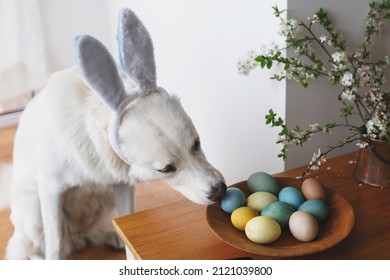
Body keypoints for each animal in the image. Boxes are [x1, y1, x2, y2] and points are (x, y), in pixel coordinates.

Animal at [0, 7, 225, 260]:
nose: (220, 191)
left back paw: (110, 236)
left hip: (103, 200)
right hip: (33, 211)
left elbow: (126, 219)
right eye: (166, 169)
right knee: (31, 245)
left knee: (90, 234)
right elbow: (54, 245)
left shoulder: (122, 185)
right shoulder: (51, 188)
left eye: (196, 143)